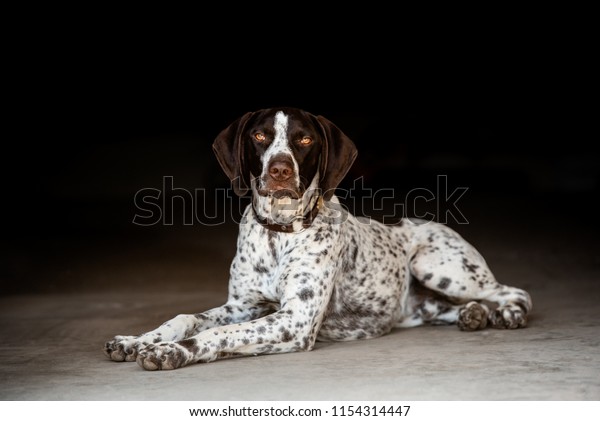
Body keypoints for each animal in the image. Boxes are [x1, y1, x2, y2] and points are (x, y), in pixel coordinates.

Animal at [105, 106, 532, 370]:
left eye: (305, 140)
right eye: (260, 135)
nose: (279, 170)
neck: (279, 235)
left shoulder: (294, 320)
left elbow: (218, 333)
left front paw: (173, 351)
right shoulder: (245, 305)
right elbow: (188, 317)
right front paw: (138, 340)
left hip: (438, 266)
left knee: (514, 291)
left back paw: (507, 313)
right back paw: (474, 314)